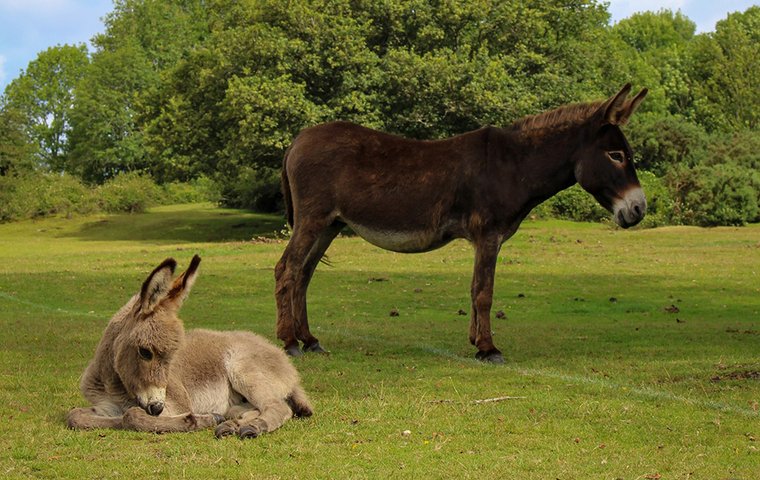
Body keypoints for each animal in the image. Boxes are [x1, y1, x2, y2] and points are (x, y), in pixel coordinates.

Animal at [67, 255, 312, 438]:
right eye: (145, 352)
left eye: (172, 356)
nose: (156, 408)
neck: (113, 385)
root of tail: (283, 359)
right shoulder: (105, 406)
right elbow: (75, 416)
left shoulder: (175, 405)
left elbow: (132, 416)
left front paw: (198, 420)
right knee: (251, 409)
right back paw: (231, 425)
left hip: (244, 370)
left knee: (278, 407)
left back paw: (249, 427)